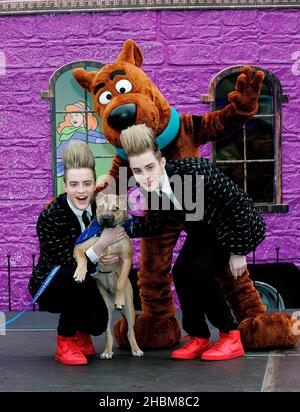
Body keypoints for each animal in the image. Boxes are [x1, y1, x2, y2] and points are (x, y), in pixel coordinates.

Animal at [72, 195, 143, 358]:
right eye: (100, 207)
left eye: (115, 208)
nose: (105, 218)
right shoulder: (79, 247)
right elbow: (83, 257)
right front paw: (80, 272)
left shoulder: (127, 258)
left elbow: (121, 281)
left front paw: (119, 297)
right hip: (106, 312)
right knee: (108, 332)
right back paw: (107, 351)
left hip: (129, 310)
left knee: (130, 332)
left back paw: (136, 349)